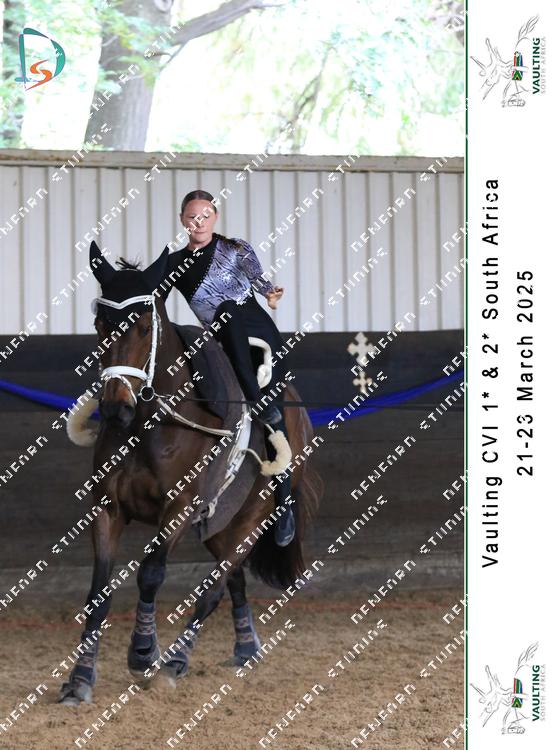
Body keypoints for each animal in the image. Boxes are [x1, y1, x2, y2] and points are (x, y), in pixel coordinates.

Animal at [58, 241, 322, 705]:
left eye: (145, 326)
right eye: (99, 323)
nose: (115, 408)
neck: (150, 425)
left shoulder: (179, 507)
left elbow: (151, 573)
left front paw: (144, 654)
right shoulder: (107, 507)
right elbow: (98, 592)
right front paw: (80, 678)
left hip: (251, 522)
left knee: (214, 589)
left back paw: (175, 662)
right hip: (220, 524)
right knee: (234, 581)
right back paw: (245, 648)